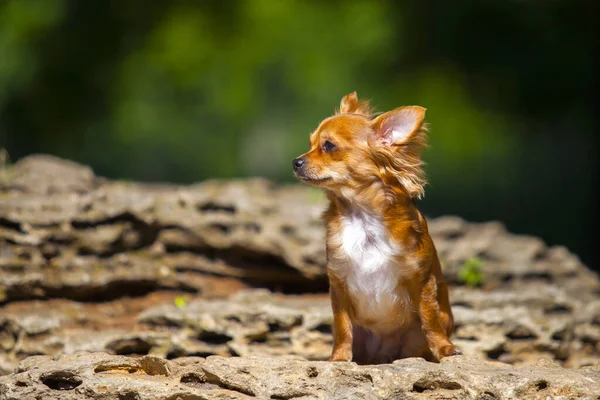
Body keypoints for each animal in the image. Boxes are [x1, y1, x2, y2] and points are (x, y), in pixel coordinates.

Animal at [294, 92, 460, 364]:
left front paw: (444, 348)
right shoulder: (339, 283)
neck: (362, 217)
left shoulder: (422, 279)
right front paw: (339, 359)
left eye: (328, 146)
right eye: (310, 144)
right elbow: (342, 326)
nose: (296, 161)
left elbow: (430, 319)